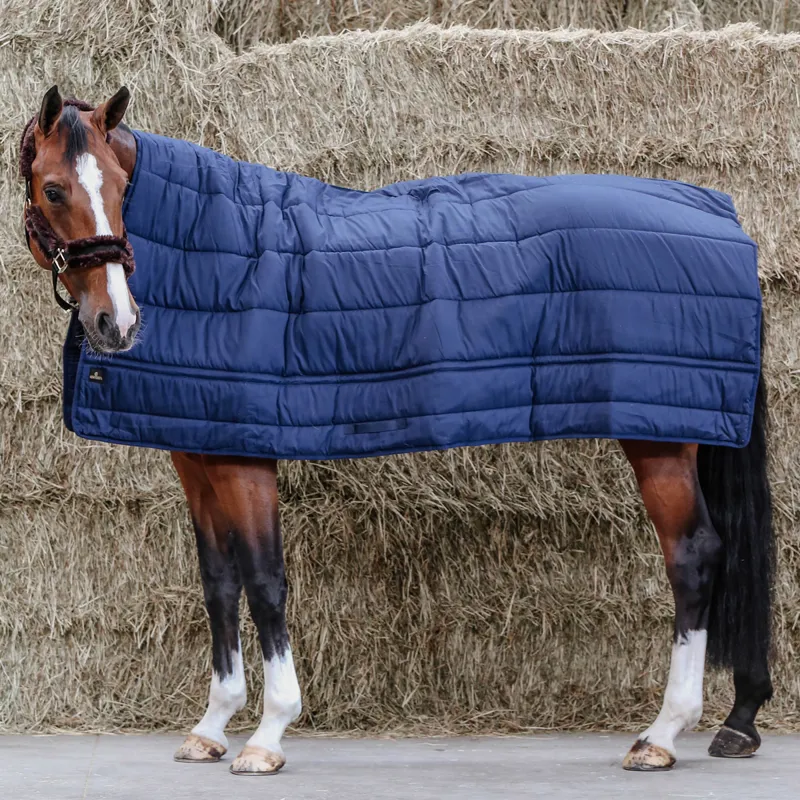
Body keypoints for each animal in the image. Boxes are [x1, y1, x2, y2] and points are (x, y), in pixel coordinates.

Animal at [20, 85, 774, 776]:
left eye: (120, 187)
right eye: (54, 189)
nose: (117, 323)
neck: (209, 246)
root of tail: (724, 218)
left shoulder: (243, 455)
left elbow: (264, 580)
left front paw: (268, 734)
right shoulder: (198, 449)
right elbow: (219, 582)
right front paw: (211, 727)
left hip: (660, 442)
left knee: (692, 556)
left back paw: (662, 734)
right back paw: (728, 720)